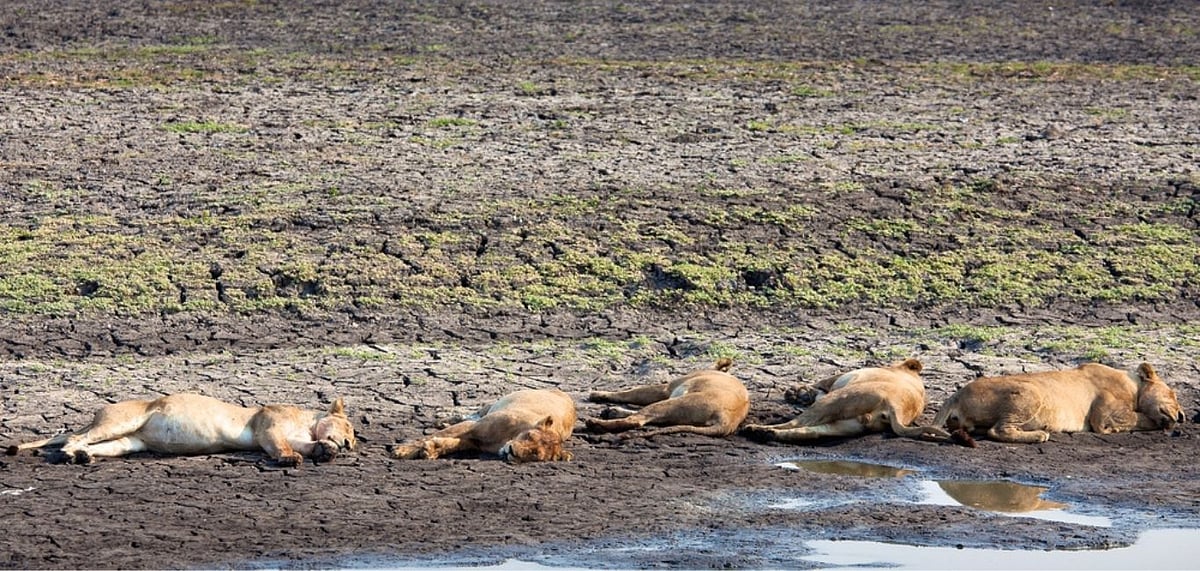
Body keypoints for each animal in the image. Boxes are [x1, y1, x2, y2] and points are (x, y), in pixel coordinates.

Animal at [390, 388, 576, 463]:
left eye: (535, 454)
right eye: (529, 436)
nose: (512, 451)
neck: (506, 439)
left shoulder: (474, 441)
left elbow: (451, 444)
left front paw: (431, 450)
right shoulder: (475, 426)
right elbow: (432, 436)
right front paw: (402, 450)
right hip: (493, 405)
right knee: (474, 413)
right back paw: (442, 418)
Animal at [585, 357, 748, 438]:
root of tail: (728, 420)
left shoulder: (666, 388)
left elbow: (630, 392)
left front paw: (598, 394)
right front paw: (610, 408)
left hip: (676, 403)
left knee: (637, 420)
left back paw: (595, 423)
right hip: (676, 413)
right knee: (645, 416)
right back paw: (609, 414)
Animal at [742, 358, 948, 442]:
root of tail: (894, 407)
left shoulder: (838, 378)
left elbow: (820, 382)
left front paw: (796, 393)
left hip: (835, 400)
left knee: (795, 423)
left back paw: (757, 429)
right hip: (846, 424)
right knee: (808, 432)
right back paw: (768, 434)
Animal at [930, 362, 1185, 444]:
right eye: (1173, 394)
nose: (1182, 416)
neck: (1135, 386)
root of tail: (958, 393)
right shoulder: (1104, 416)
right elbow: (1141, 417)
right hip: (1031, 391)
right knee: (997, 430)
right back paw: (1039, 435)